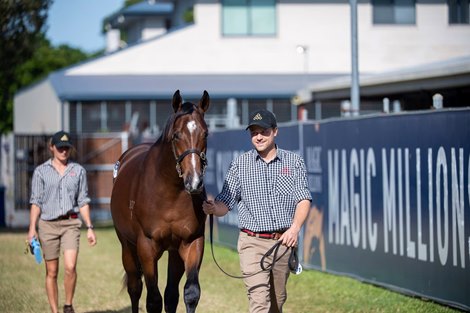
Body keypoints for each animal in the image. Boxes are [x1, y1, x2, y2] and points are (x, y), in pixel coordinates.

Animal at [110, 90, 209, 312]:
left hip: (173, 251)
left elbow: (190, 293)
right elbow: (153, 299)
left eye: (206, 133)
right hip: (126, 246)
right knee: (135, 287)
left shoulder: (192, 242)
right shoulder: (146, 247)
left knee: (171, 293)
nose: (194, 182)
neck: (171, 193)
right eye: (176, 135)